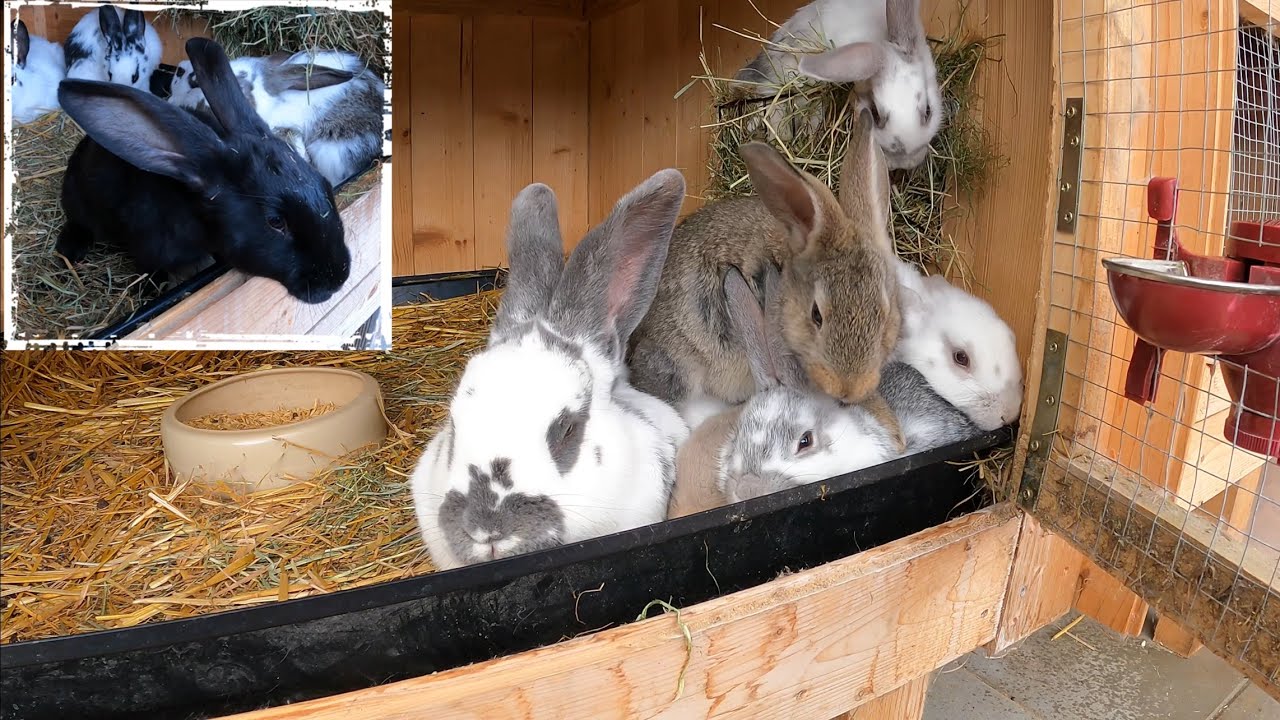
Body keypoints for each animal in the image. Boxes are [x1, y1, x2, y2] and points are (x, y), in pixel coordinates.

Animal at [55, 37, 351, 305]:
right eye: (275, 222)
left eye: (325, 184)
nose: (339, 278)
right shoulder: (146, 250)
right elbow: (148, 271)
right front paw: (149, 292)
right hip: (80, 204)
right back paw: (70, 250)